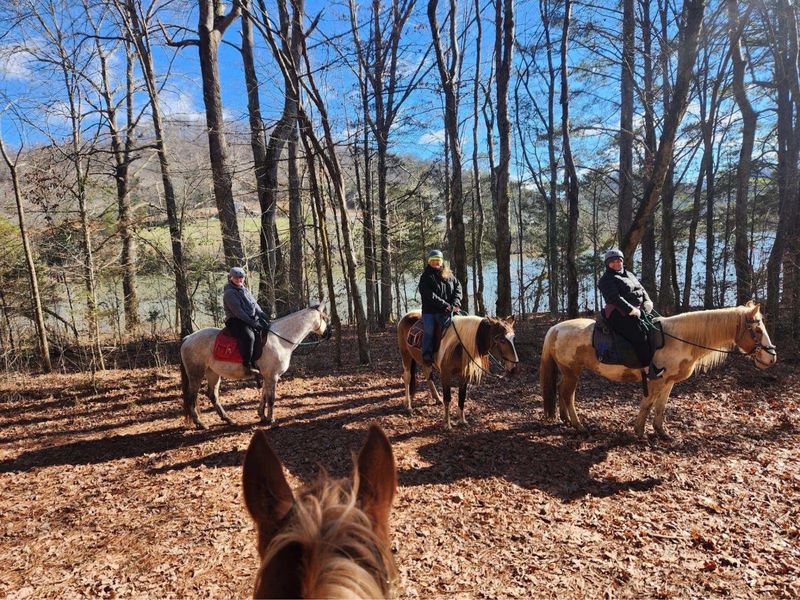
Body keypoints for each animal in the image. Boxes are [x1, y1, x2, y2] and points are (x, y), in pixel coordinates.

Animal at [179, 303, 329, 429]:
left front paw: (262, 416)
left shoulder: (268, 376)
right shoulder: (273, 376)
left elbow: (264, 395)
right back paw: (200, 423)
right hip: (196, 374)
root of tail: (188, 338)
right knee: (191, 397)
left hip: (213, 373)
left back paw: (228, 419)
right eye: (324, 317)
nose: (329, 334)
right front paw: (271, 419)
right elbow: (271, 398)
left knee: (212, 395)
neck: (279, 339)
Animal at [539, 301, 777, 439]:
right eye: (757, 330)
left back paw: (566, 420)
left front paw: (662, 432)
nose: (771, 357)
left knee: (562, 391)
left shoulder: (669, 381)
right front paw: (639, 432)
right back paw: (578, 425)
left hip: (568, 372)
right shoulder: (656, 380)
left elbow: (661, 406)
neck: (679, 339)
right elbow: (647, 404)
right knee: (568, 395)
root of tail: (555, 328)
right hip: (572, 372)